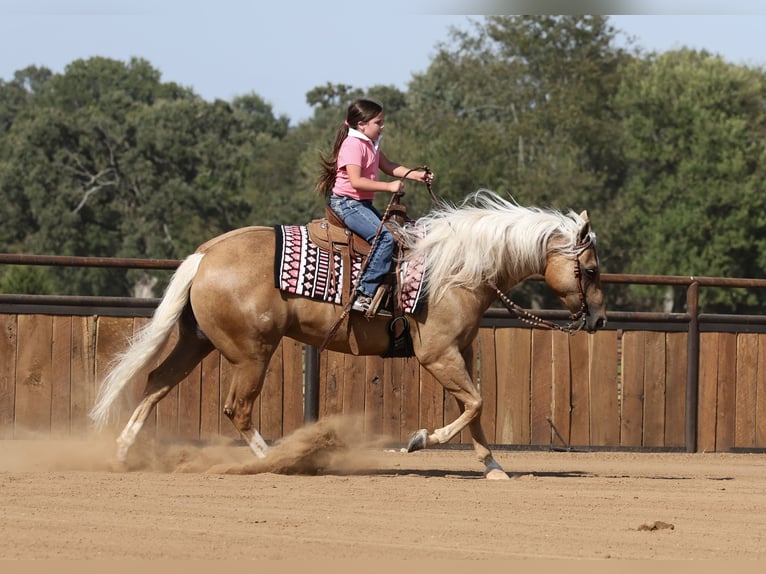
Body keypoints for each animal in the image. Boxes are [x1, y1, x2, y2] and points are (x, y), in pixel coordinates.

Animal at [89, 189, 607, 480]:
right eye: (591, 269)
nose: (599, 319)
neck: (457, 267)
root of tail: (206, 255)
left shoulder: (460, 351)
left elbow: (475, 409)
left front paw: (495, 468)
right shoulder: (437, 354)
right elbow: (475, 404)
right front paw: (419, 440)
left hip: (198, 340)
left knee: (156, 383)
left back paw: (121, 454)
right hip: (251, 352)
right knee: (237, 408)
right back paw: (277, 460)